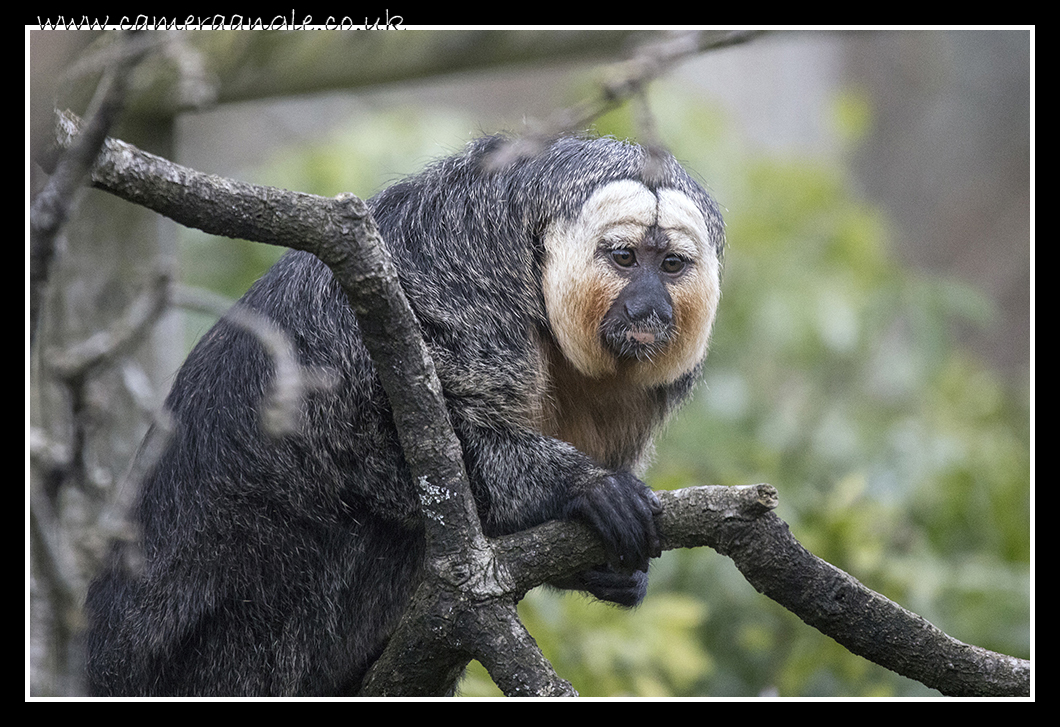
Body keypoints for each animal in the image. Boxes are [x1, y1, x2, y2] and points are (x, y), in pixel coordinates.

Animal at [86, 134, 725, 699]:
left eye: (671, 265)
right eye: (625, 258)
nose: (648, 307)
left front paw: (613, 574)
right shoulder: (457, 285)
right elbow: (386, 447)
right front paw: (582, 488)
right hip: (232, 647)